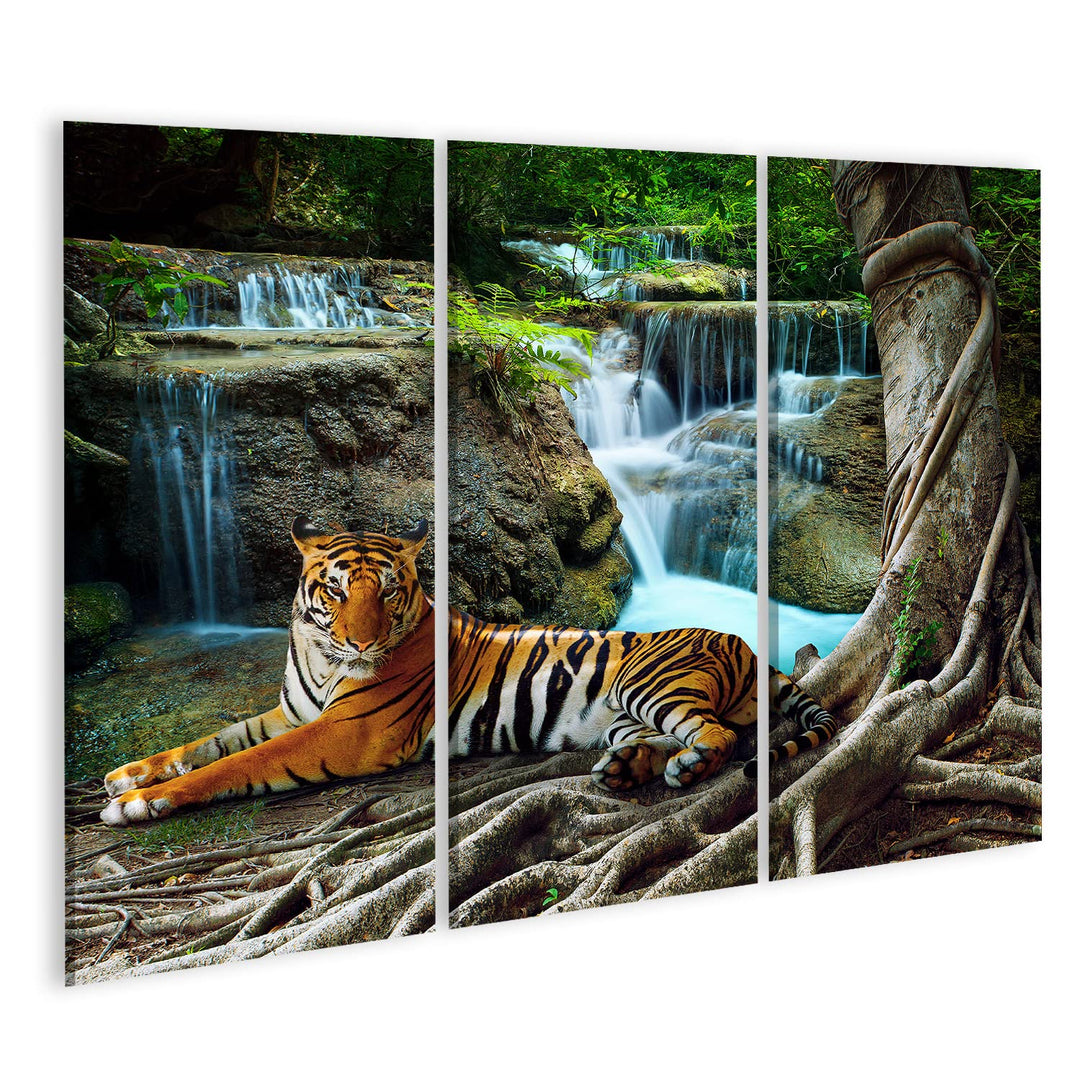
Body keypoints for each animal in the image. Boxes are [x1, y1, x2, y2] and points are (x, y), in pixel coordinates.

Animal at [101, 519, 839, 825]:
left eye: (387, 591)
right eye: (335, 591)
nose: (363, 640)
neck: (318, 652)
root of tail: (745, 643)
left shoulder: (344, 732)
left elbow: (236, 763)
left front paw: (140, 803)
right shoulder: (292, 711)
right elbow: (212, 742)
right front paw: (129, 775)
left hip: (651, 684)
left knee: (722, 737)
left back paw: (689, 767)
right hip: (622, 717)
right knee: (658, 742)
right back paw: (626, 771)